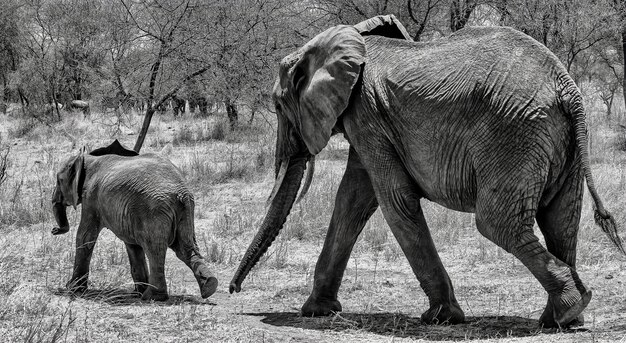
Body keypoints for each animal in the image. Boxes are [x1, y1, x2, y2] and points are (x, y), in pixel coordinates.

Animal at [51, 140, 217, 300]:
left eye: (59, 180)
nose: (54, 230)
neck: (88, 158)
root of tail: (181, 193)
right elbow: (132, 245)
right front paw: (138, 291)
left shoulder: (91, 199)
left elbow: (85, 237)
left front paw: (73, 289)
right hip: (185, 210)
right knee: (185, 248)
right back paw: (209, 286)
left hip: (154, 211)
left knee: (155, 250)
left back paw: (153, 297)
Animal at [230, 14, 624, 330]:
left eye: (277, 105)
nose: (233, 290)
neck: (349, 37)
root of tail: (567, 87)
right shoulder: (369, 122)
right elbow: (353, 200)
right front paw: (316, 311)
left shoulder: (367, 113)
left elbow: (393, 201)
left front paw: (441, 318)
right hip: (557, 140)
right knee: (561, 219)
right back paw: (563, 319)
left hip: (514, 133)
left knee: (497, 223)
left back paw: (568, 309)